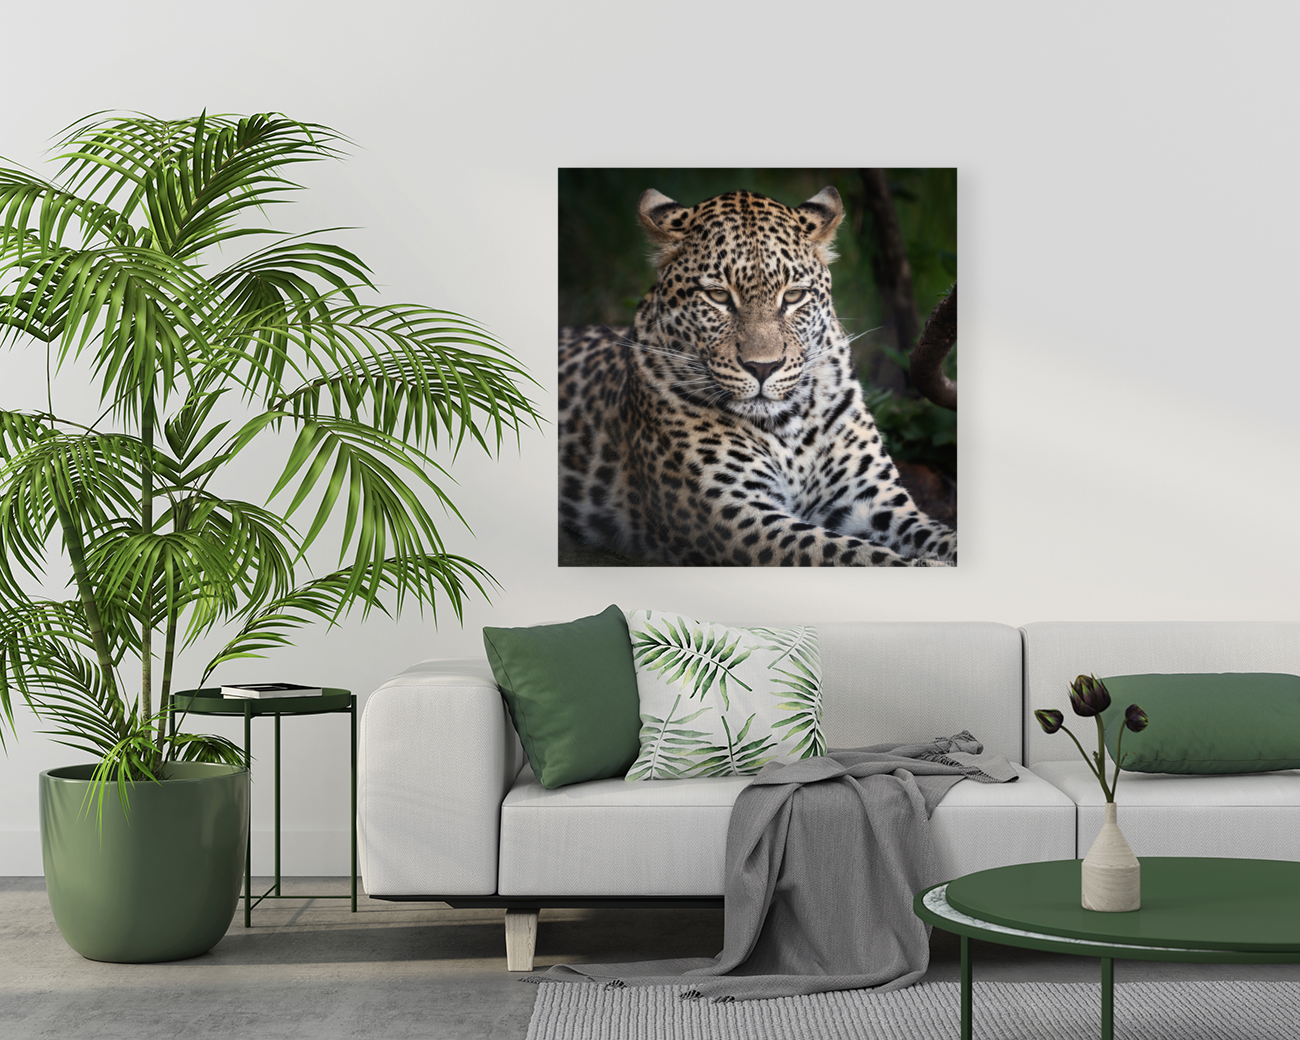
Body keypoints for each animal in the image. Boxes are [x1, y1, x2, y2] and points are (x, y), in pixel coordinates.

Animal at [558, 186, 956, 567]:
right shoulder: (735, 514)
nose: (763, 367)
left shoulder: (875, 501)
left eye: (793, 296)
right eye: (718, 296)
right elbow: (850, 554)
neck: (788, 427)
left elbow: (937, 535)